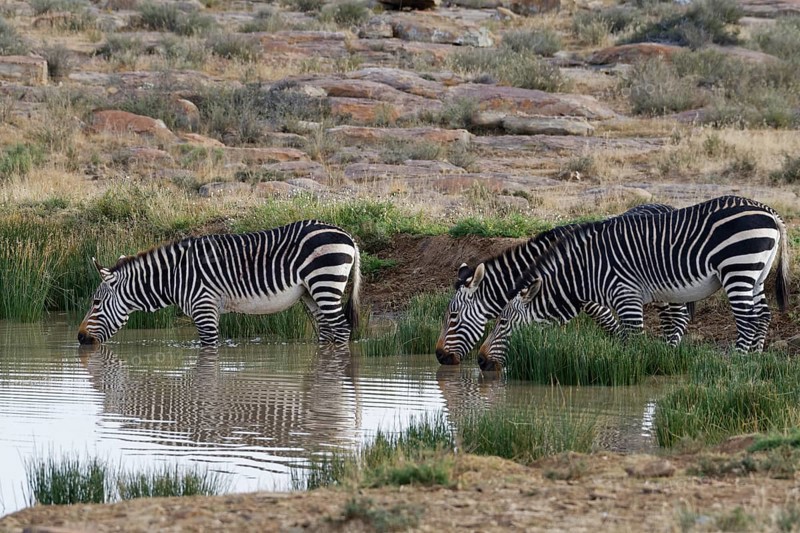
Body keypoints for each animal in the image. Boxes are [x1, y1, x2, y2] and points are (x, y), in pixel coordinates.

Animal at [78, 220, 361, 347]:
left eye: (96, 302)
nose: (79, 338)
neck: (175, 276)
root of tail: (347, 235)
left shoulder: (204, 307)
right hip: (311, 293)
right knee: (327, 330)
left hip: (325, 283)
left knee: (342, 329)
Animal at [435, 203, 694, 365]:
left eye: (454, 316)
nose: (439, 357)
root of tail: (669, 207)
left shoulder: (588, 297)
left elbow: (609, 324)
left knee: (679, 318)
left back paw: (670, 353)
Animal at [478, 195, 790, 371]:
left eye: (502, 322)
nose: (479, 361)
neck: (583, 271)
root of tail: (770, 211)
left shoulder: (626, 295)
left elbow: (632, 342)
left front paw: (632, 372)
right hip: (756, 274)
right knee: (763, 315)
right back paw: (755, 359)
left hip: (737, 266)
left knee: (748, 320)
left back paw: (737, 361)